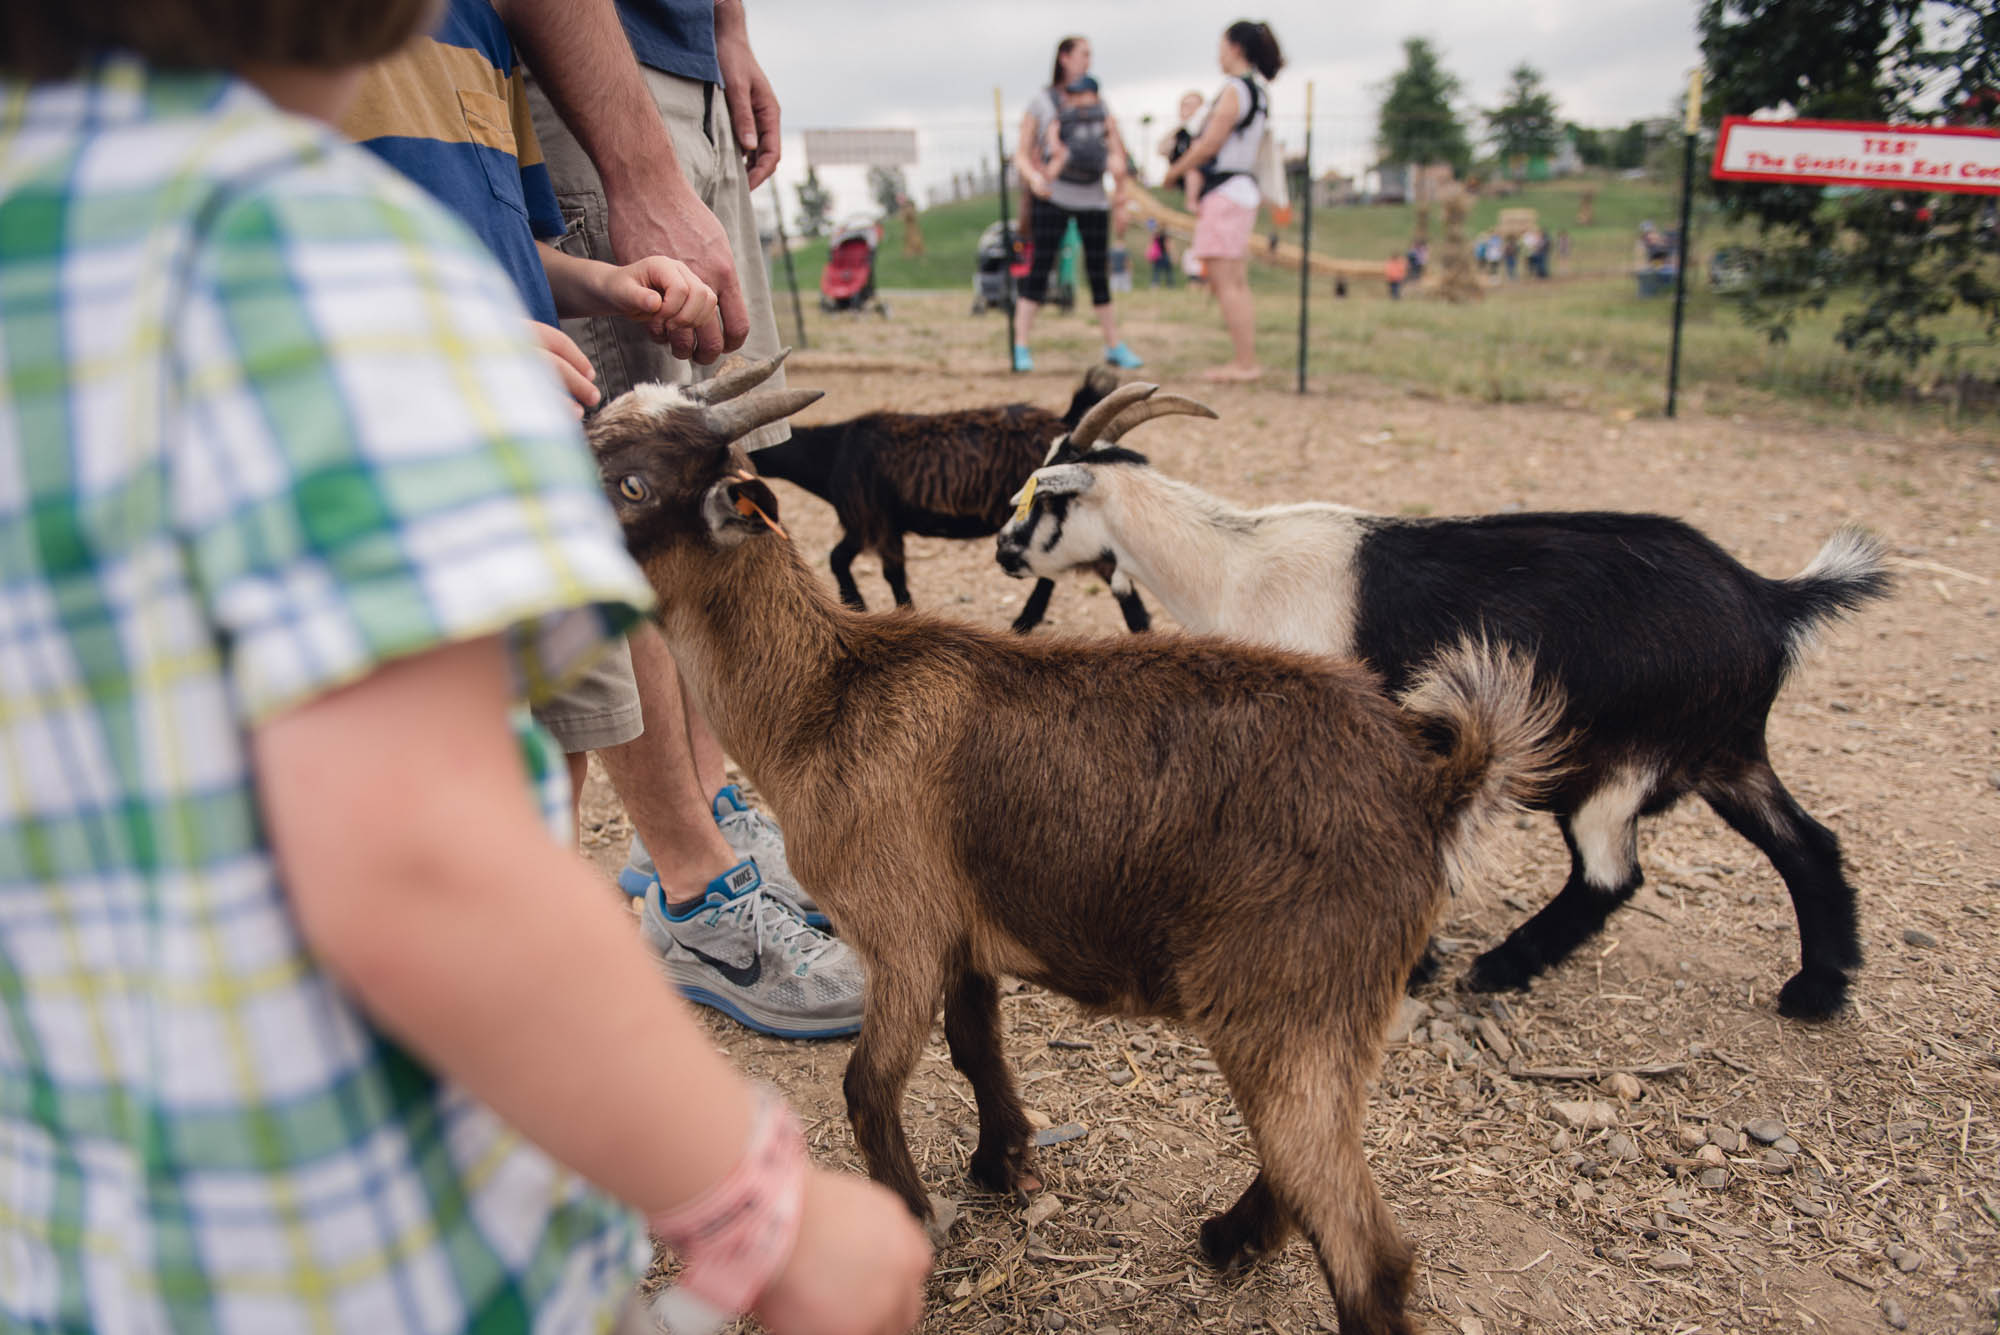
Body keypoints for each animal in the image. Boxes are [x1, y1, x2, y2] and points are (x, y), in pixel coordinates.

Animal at [748, 361, 1152, 635]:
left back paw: (1139, 628)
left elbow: (867, 567)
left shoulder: (871, 519)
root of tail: (1066, 425)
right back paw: (1024, 621)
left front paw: (867, 607)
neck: (832, 453)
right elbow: (867, 566)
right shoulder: (880, 523)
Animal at [1000, 385, 1888, 1023]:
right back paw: (1818, 990)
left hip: (1619, 766)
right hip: (1725, 753)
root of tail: (1771, 598)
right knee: (1809, 844)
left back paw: (1498, 968)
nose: (1005, 553)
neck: (1234, 567)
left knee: (1610, 873)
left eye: (1042, 499)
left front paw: (1408, 959)